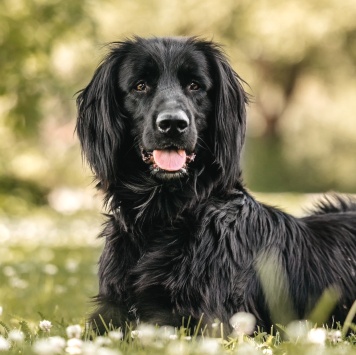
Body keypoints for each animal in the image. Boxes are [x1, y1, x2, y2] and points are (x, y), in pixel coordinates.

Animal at [76, 37, 356, 336]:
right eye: (140, 85)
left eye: (195, 85)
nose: (173, 124)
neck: (163, 215)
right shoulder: (109, 310)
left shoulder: (206, 319)